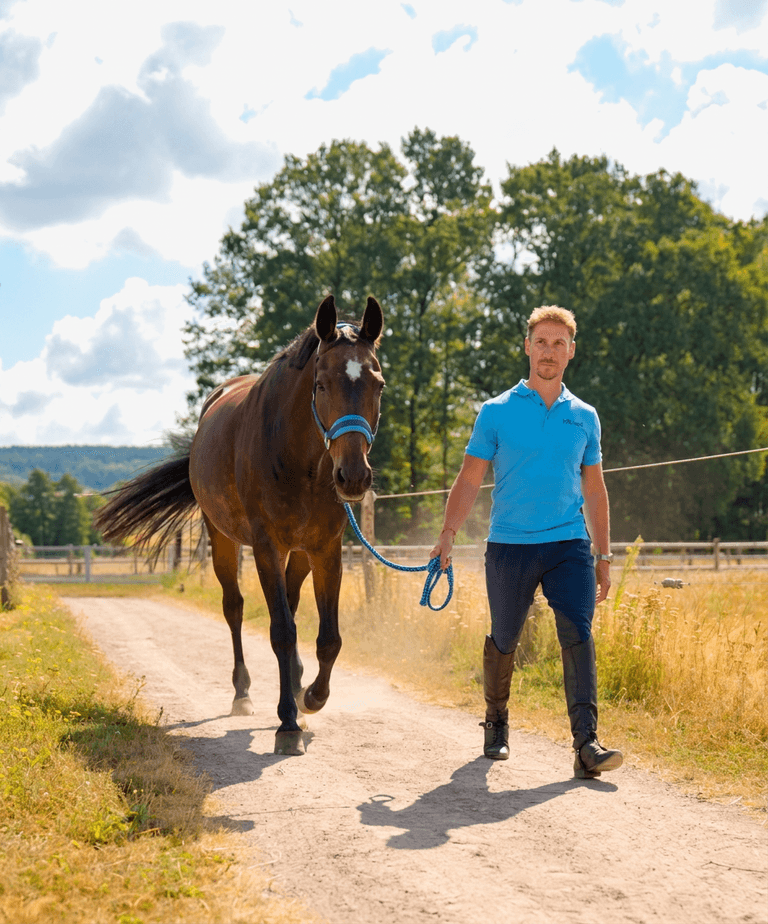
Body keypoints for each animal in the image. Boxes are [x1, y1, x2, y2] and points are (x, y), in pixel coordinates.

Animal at [95, 295, 385, 755]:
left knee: (291, 600)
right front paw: (288, 724)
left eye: (379, 385)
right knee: (235, 609)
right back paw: (243, 693)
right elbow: (281, 631)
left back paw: (296, 684)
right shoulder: (265, 546)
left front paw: (311, 697)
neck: (301, 459)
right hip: (224, 541)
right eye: (321, 385)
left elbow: (329, 638)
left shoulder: (326, 549)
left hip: (297, 552)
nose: (353, 477)